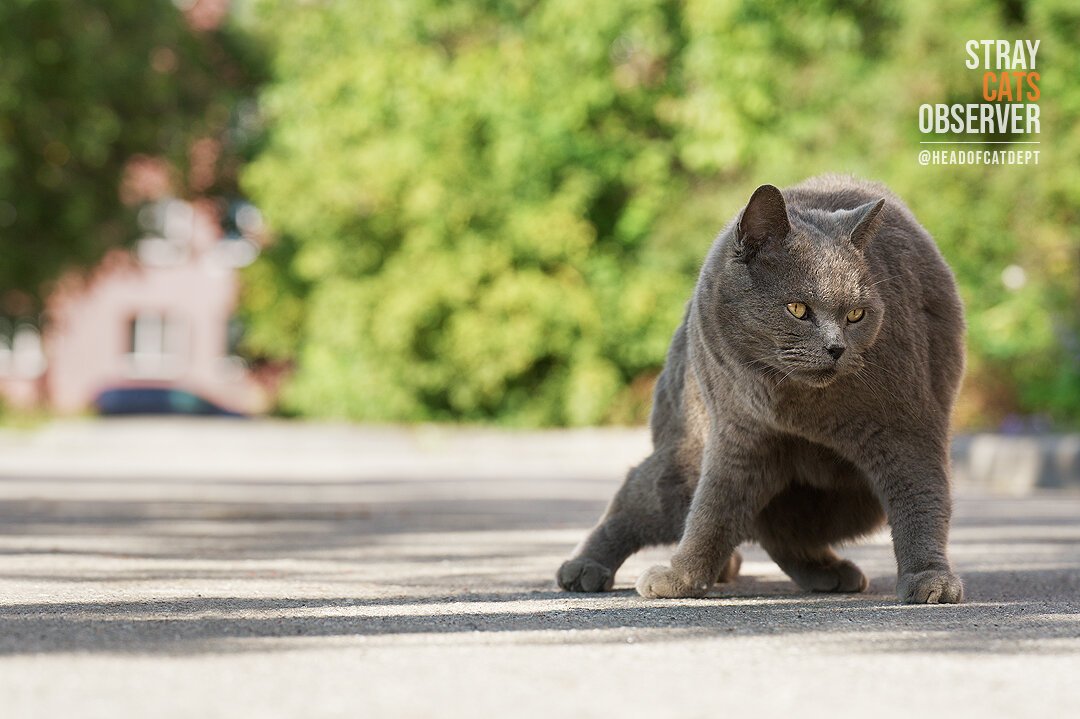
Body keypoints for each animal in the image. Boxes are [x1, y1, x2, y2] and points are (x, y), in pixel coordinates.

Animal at [557, 173, 963, 600]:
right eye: (797, 309)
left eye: (856, 315)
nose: (836, 348)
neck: (799, 409)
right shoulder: (737, 434)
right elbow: (713, 509)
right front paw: (682, 577)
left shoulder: (907, 430)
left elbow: (920, 499)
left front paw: (929, 578)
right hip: (687, 456)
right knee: (640, 496)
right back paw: (583, 568)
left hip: (847, 502)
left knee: (779, 533)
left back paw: (829, 572)